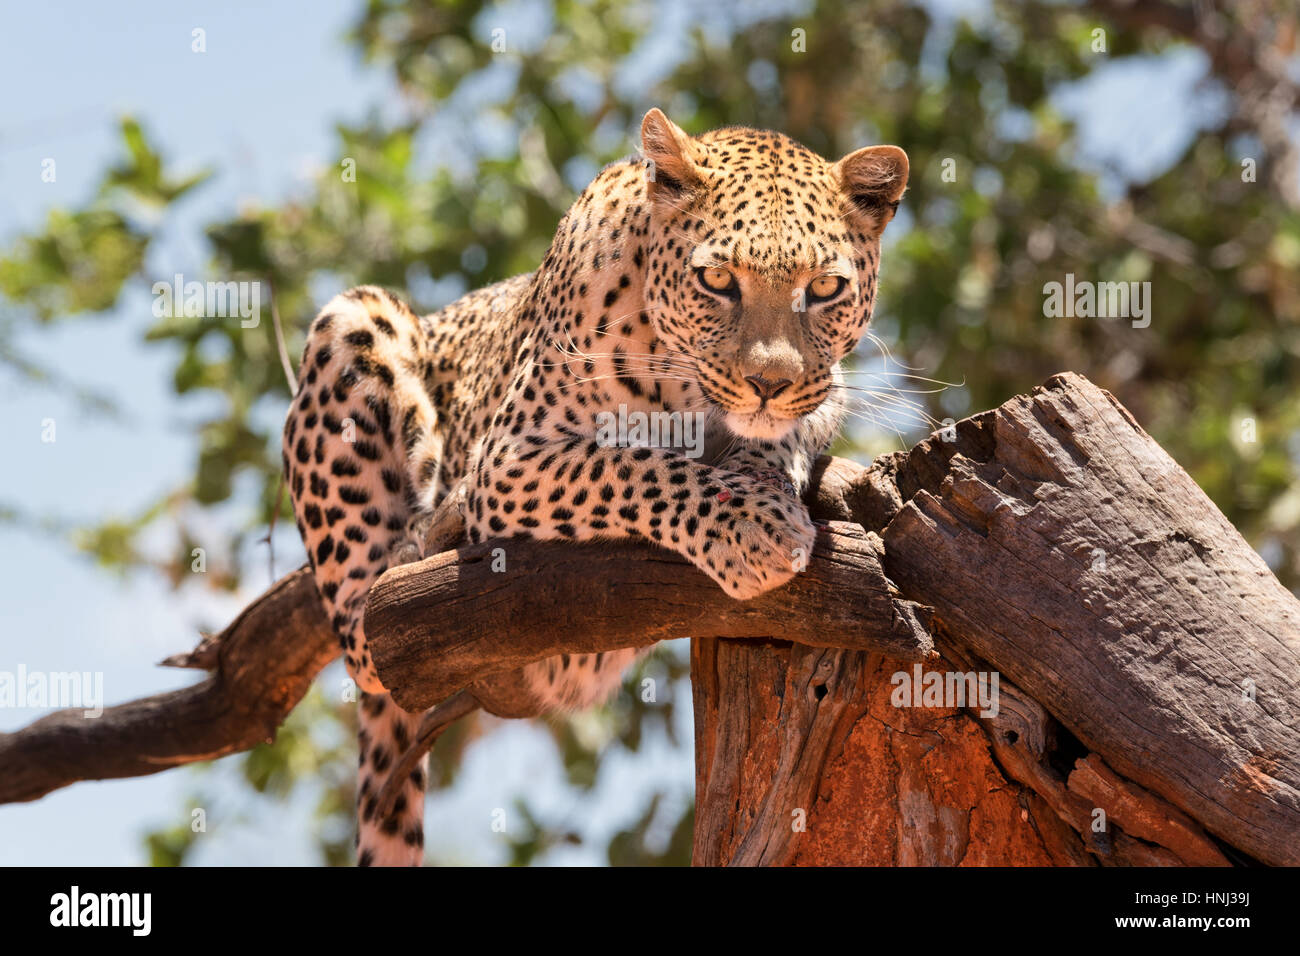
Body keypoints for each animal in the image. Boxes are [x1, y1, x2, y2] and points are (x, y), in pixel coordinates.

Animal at [279, 106, 909, 868]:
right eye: (717, 280)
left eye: (823, 290)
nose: (769, 383)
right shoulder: (511, 457)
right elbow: (636, 468)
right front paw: (750, 527)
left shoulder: (825, 393)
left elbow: (773, 437)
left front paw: (761, 483)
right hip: (356, 320)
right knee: (366, 634)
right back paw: (430, 535)